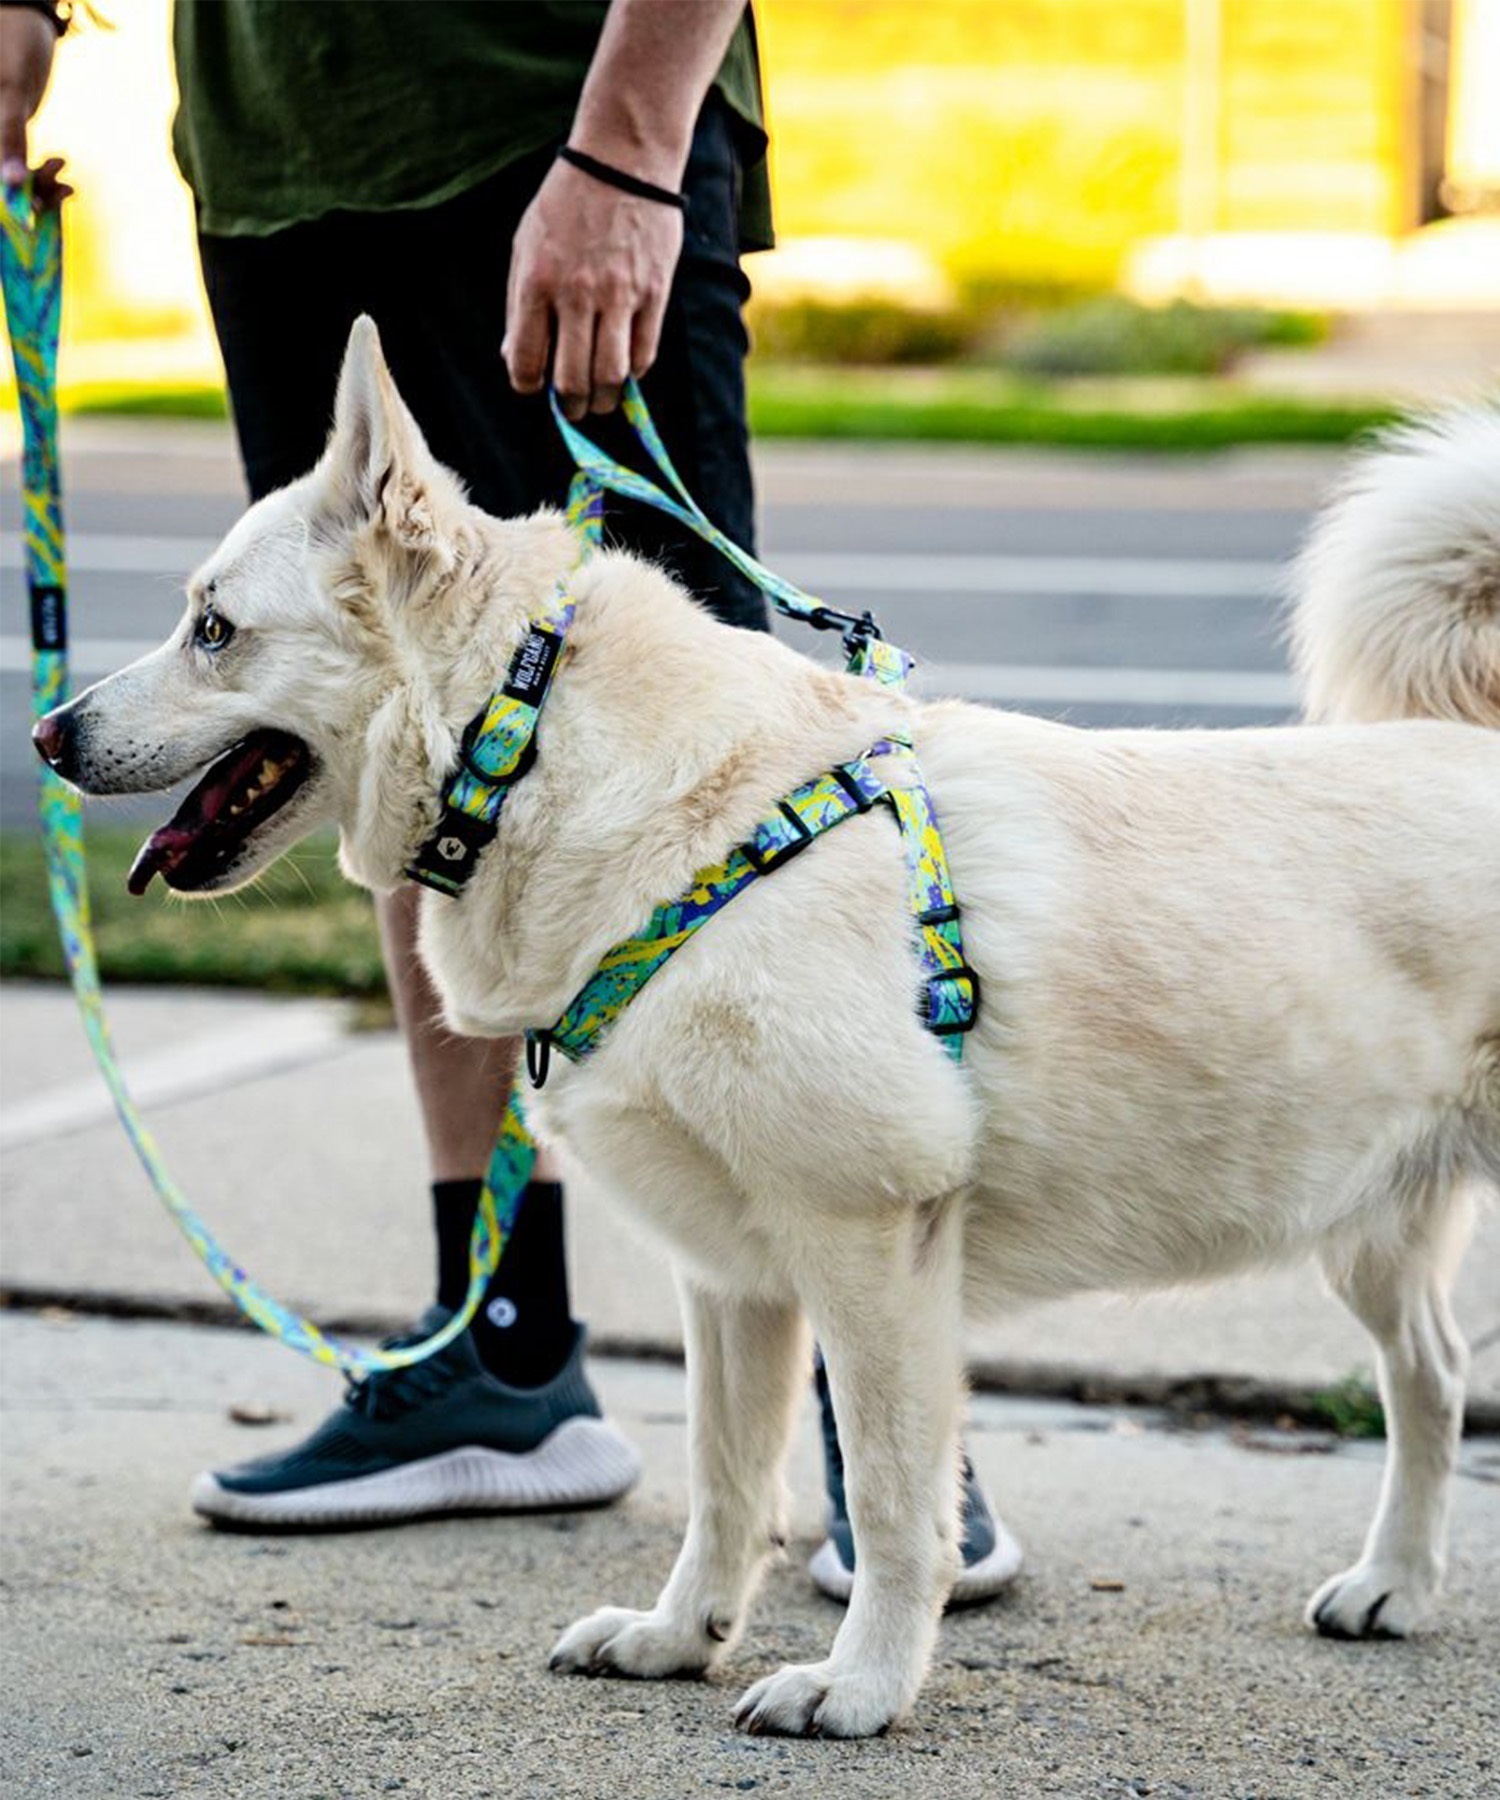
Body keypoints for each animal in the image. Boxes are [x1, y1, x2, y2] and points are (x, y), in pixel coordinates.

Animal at [35, 327, 1498, 1742]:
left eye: (212, 628)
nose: (49, 731)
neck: (585, 776)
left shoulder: (870, 1248)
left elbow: (896, 1503)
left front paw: (859, 1690)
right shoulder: (731, 1277)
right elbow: (724, 1487)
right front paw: (678, 1640)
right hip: (1368, 1234)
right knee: (1432, 1377)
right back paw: (1394, 1589)